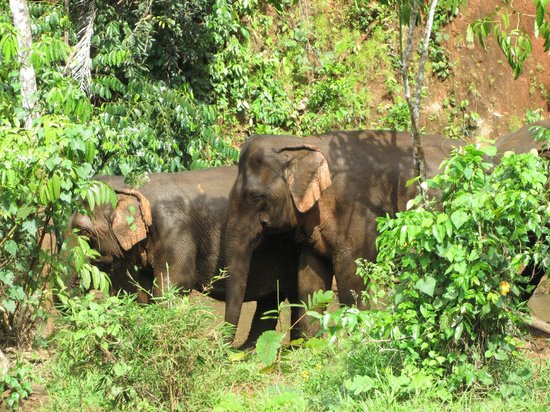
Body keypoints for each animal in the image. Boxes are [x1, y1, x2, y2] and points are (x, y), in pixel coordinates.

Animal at [71, 167, 302, 348]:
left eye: (84, 232)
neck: (132, 183)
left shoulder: (174, 229)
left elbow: (173, 286)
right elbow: (146, 290)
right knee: (269, 302)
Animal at [224, 130, 462, 334]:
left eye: (255, 197)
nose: (229, 350)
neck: (303, 143)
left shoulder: (356, 215)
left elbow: (351, 281)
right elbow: (310, 283)